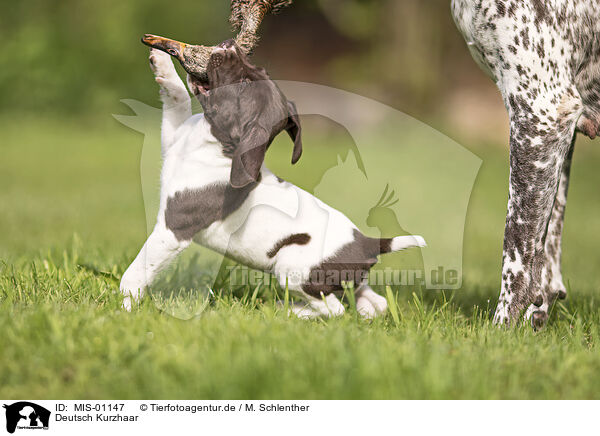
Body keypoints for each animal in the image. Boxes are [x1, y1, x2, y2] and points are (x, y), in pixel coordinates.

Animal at [119, 41, 424, 318]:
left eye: (243, 83)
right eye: (257, 69)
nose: (230, 46)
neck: (216, 142)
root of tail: (367, 242)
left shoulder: (173, 229)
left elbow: (136, 270)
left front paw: (124, 308)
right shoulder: (173, 138)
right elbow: (178, 97)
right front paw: (162, 63)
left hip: (292, 267)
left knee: (334, 309)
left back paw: (287, 310)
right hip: (348, 280)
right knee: (371, 302)